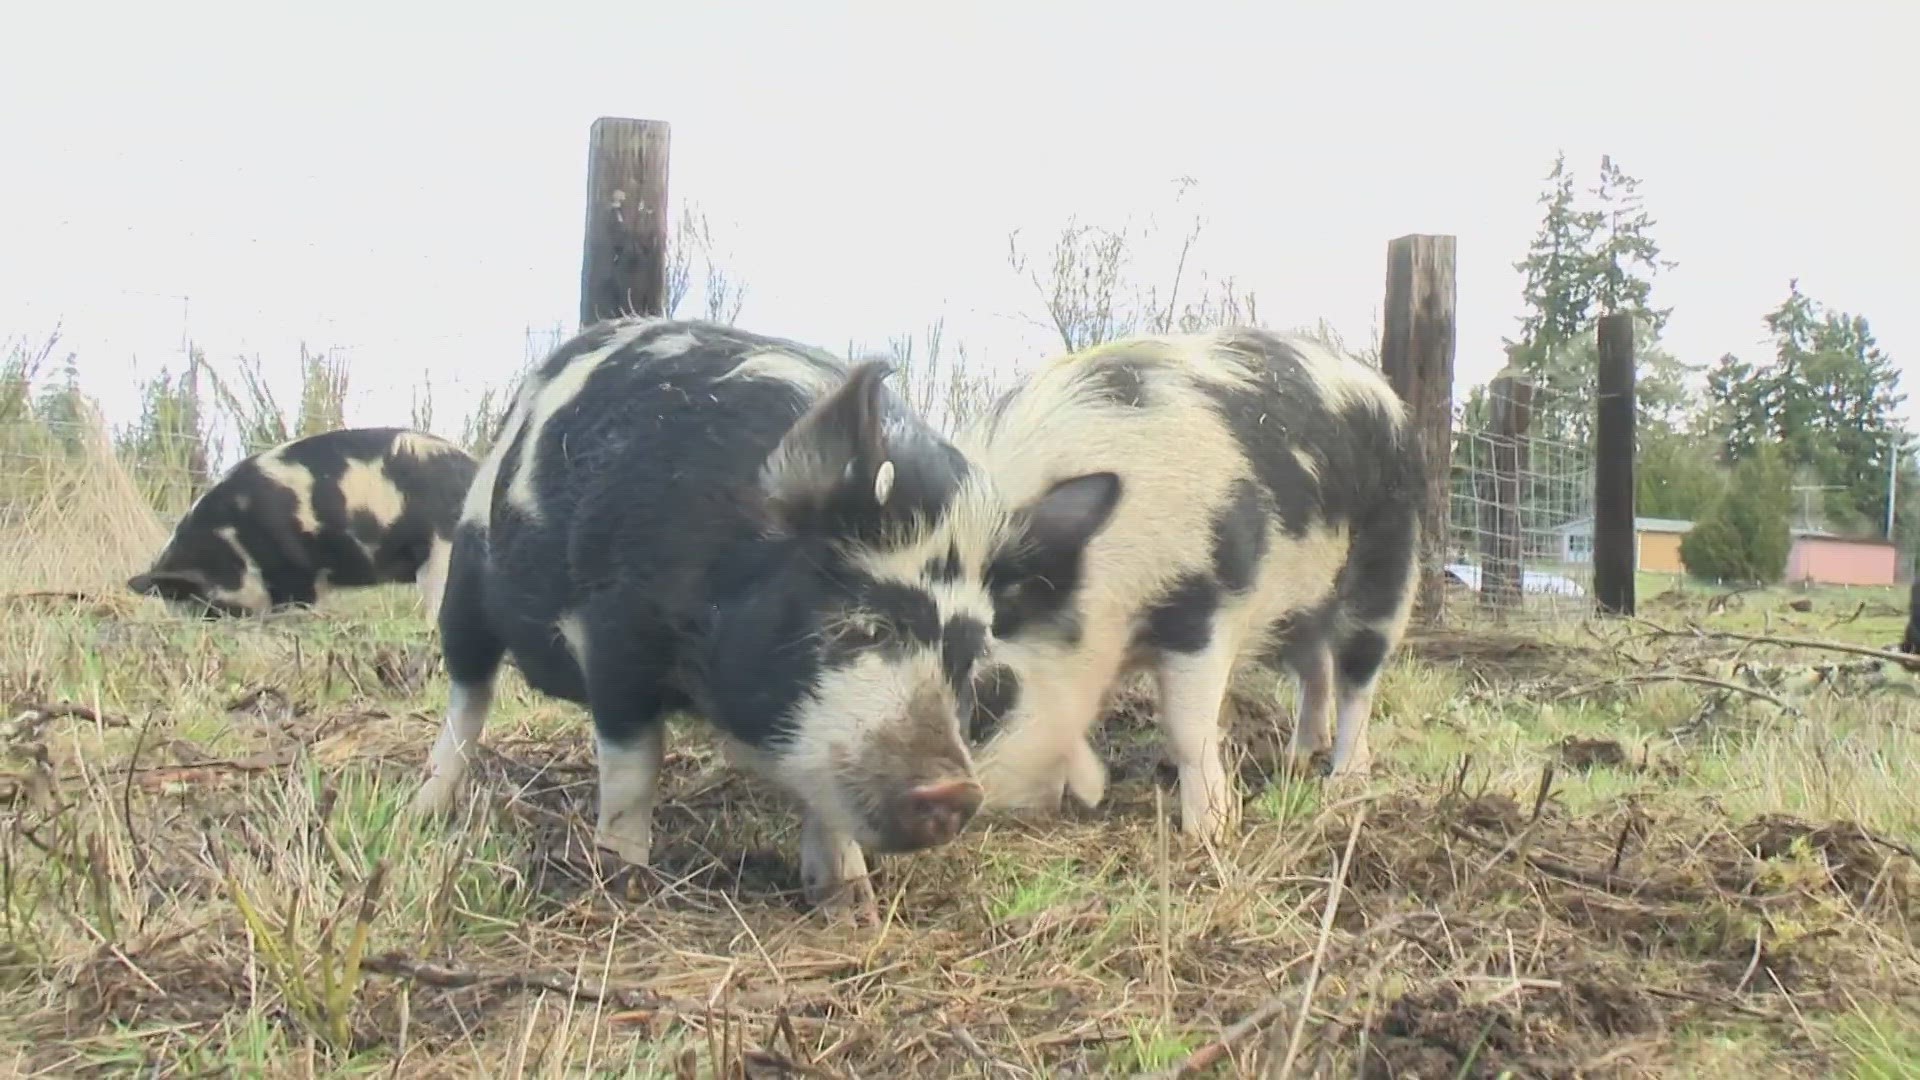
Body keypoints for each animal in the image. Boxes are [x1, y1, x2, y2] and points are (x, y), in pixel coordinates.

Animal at [408, 315, 1121, 910]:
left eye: (967, 661)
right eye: (862, 625)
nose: (955, 792)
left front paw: (851, 906)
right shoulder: (613, 639)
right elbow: (634, 765)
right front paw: (624, 884)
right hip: (466, 578)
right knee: (467, 695)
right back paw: (428, 806)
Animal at [960, 328, 1428, 841]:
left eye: (987, 696)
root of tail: (1386, 394)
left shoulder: (1207, 605)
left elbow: (1189, 726)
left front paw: (1211, 832)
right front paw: (1092, 791)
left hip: (1389, 559)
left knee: (1358, 678)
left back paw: (1343, 785)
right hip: (1292, 610)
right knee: (1314, 669)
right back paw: (1298, 757)